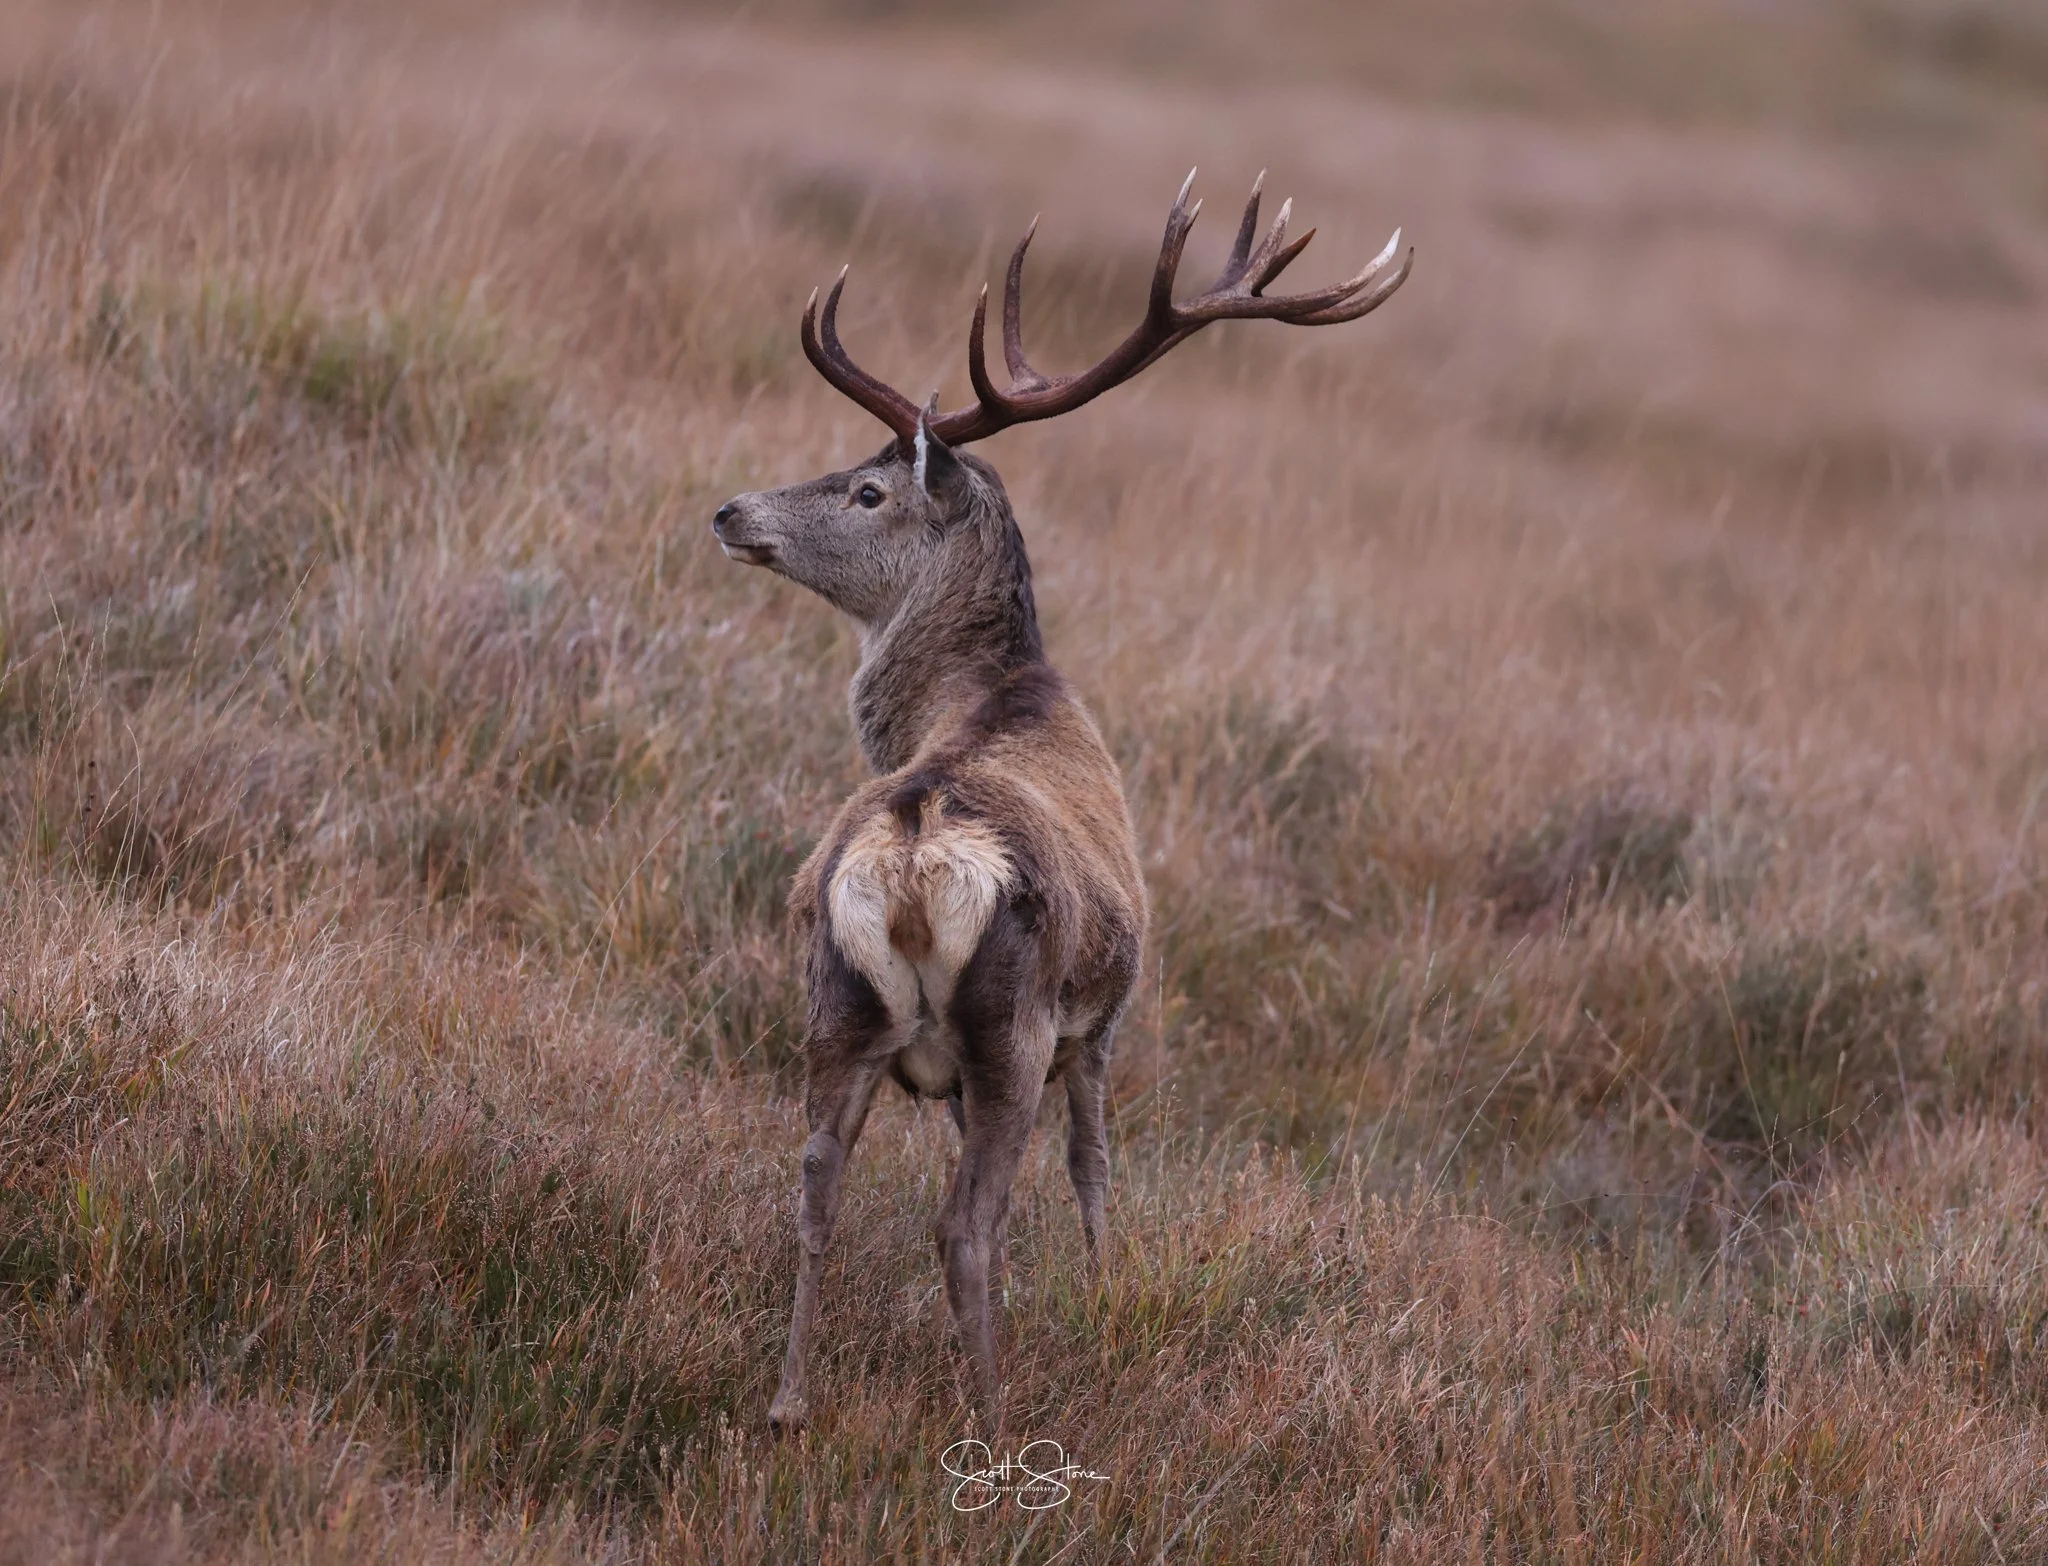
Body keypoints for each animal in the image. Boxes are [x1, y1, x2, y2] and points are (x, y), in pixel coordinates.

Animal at [711, 170, 1410, 1435]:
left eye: (866, 487)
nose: (730, 511)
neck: (993, 695)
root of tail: (910, 854)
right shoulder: (1107, 1016)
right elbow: (1093, 1169)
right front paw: (1102, 1294)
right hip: (1013, 1022)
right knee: (964, 1221)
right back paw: (990, 1416)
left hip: (834, 1001)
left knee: (816, 1187)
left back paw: (790, 1404)